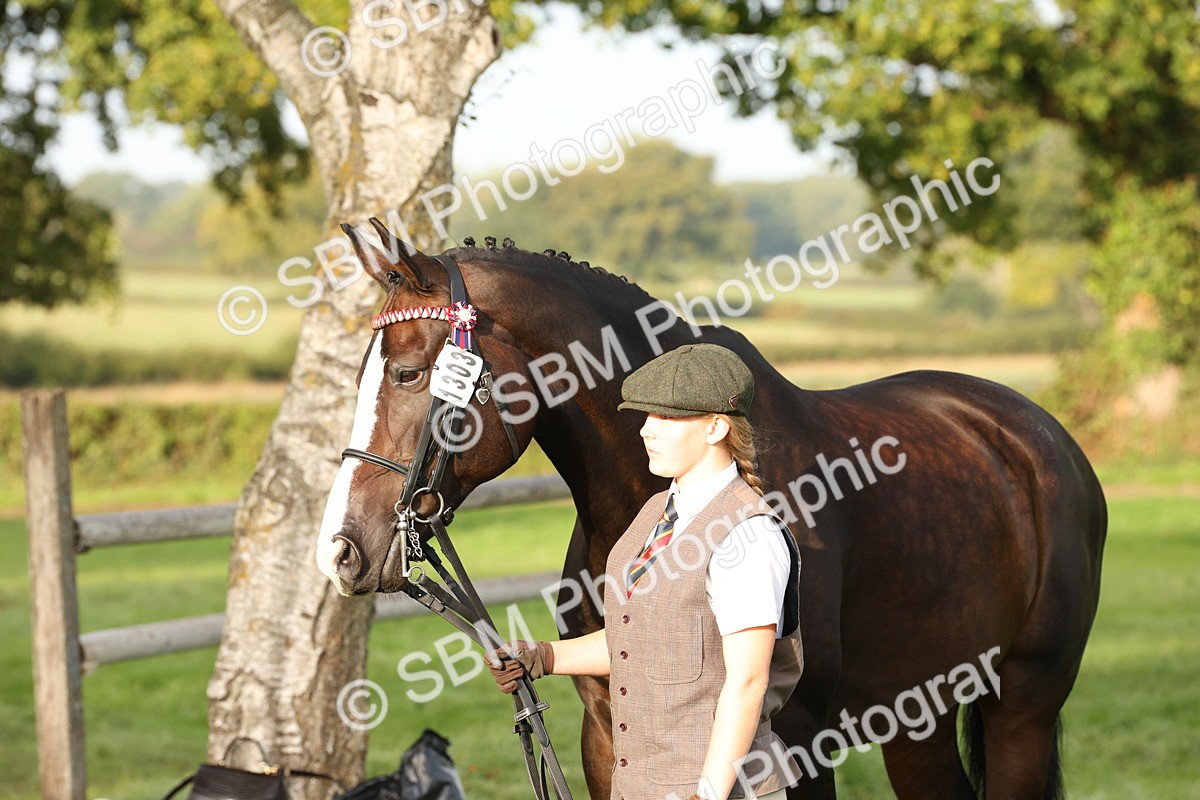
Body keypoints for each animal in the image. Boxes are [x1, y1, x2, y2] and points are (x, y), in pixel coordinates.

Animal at [316, 221, 1107, 800]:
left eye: (407, 373)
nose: (342, 548)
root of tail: (1037, 434)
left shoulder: (795, 740)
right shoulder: (605, 730)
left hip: (1024, 704)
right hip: (922, 713)